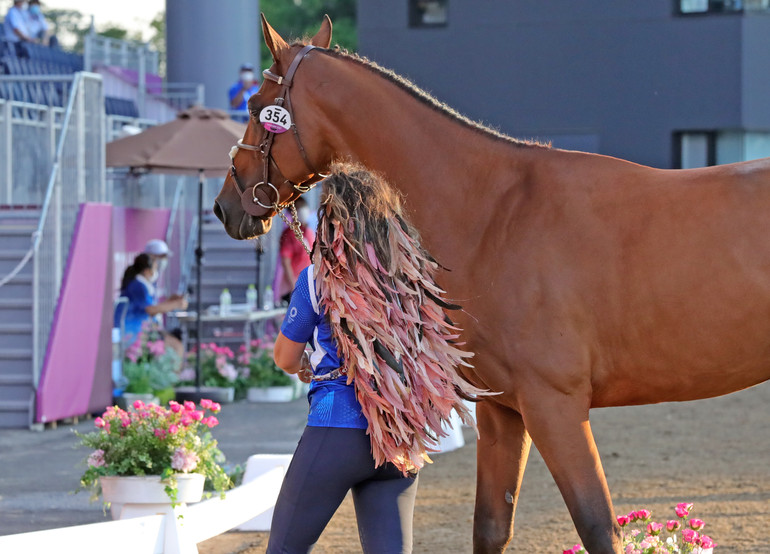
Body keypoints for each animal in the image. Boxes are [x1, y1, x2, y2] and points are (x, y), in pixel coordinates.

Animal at [213, 15, 768, 548]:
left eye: (255, 105)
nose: (225, 206)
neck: (494, 213)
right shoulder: (502, 410)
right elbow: (491, 527)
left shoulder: (555, 406)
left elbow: (597, 525)